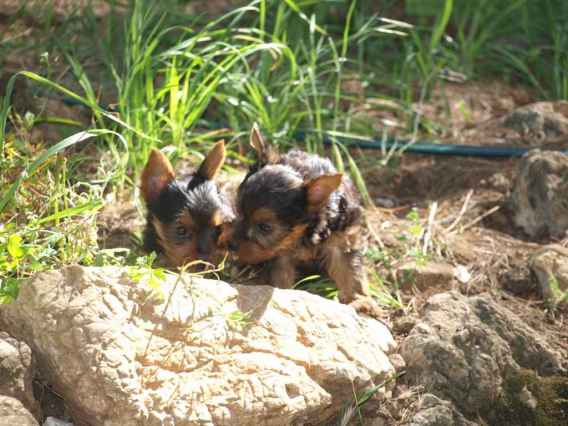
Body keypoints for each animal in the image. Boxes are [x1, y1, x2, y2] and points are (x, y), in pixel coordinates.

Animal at [228, 125, 375, 310]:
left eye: (265, 227)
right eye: (238, 211)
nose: (231, 246)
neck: (305, 231)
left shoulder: (342, 239)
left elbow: (349, 270)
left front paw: (359, 300)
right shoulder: (280, 254)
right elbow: (281, 277)